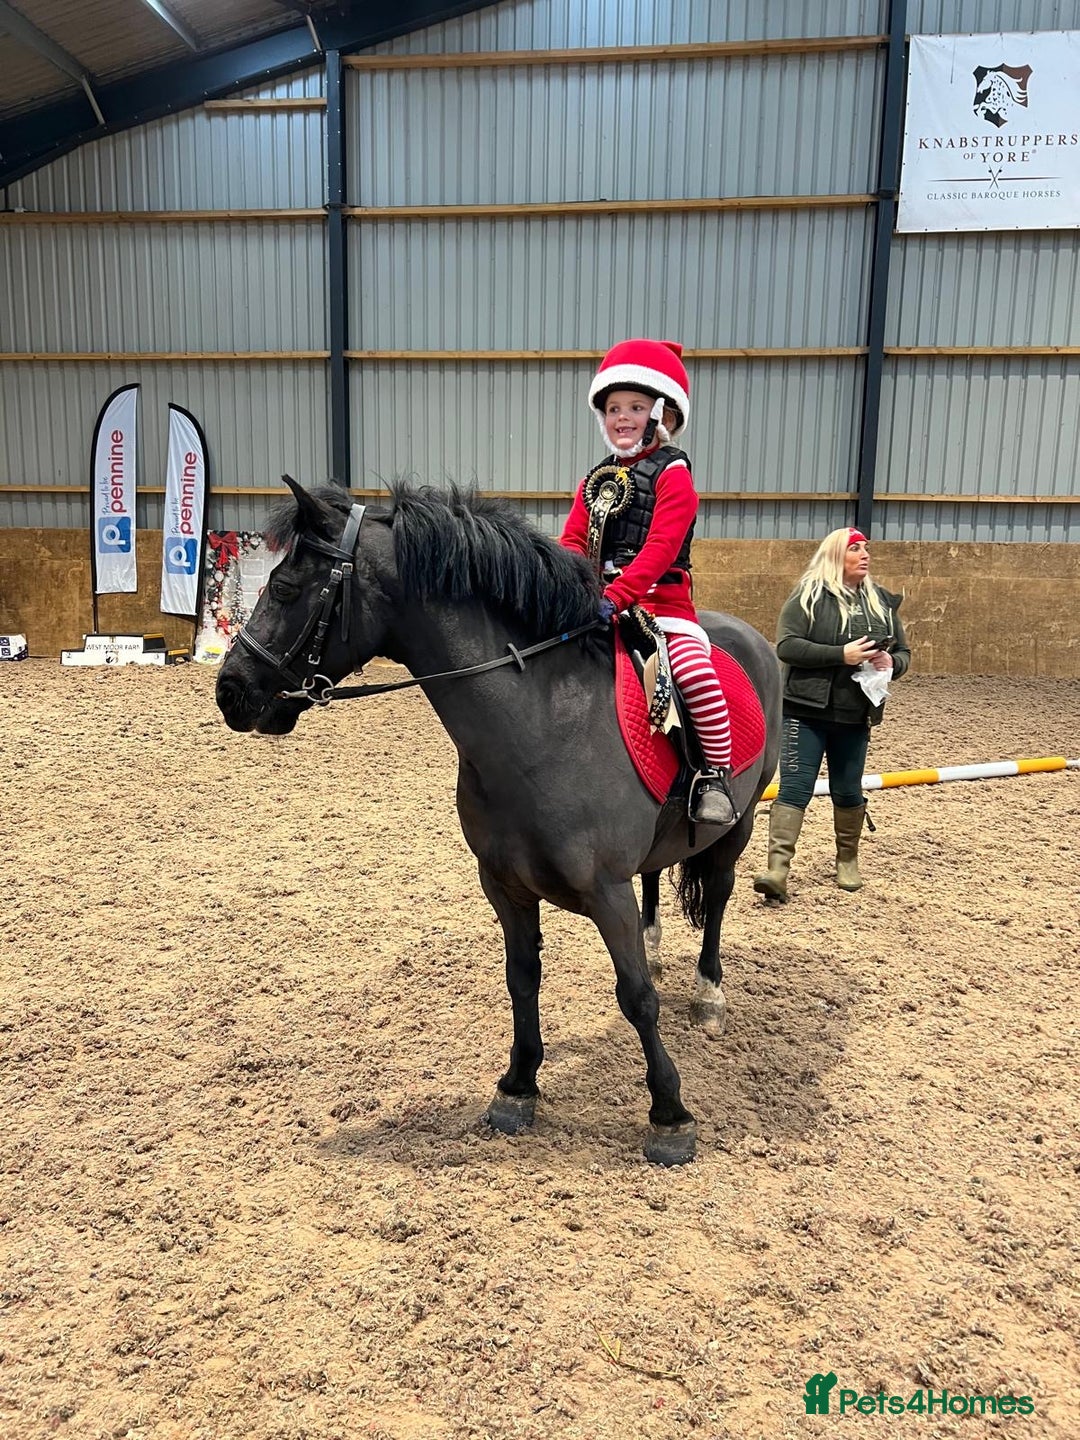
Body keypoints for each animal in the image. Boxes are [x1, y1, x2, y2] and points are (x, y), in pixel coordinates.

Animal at [216, 477, 781, 1165]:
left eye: (287, 588)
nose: (230, 690)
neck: (540, 722)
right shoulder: (505, 886)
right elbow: (522, 980)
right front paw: (518, 1086)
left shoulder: (607, 891)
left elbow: (637, 998)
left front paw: (669, 1115)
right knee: (659, 877)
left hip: (739, 827)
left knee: (718, 895)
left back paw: (708, 994)